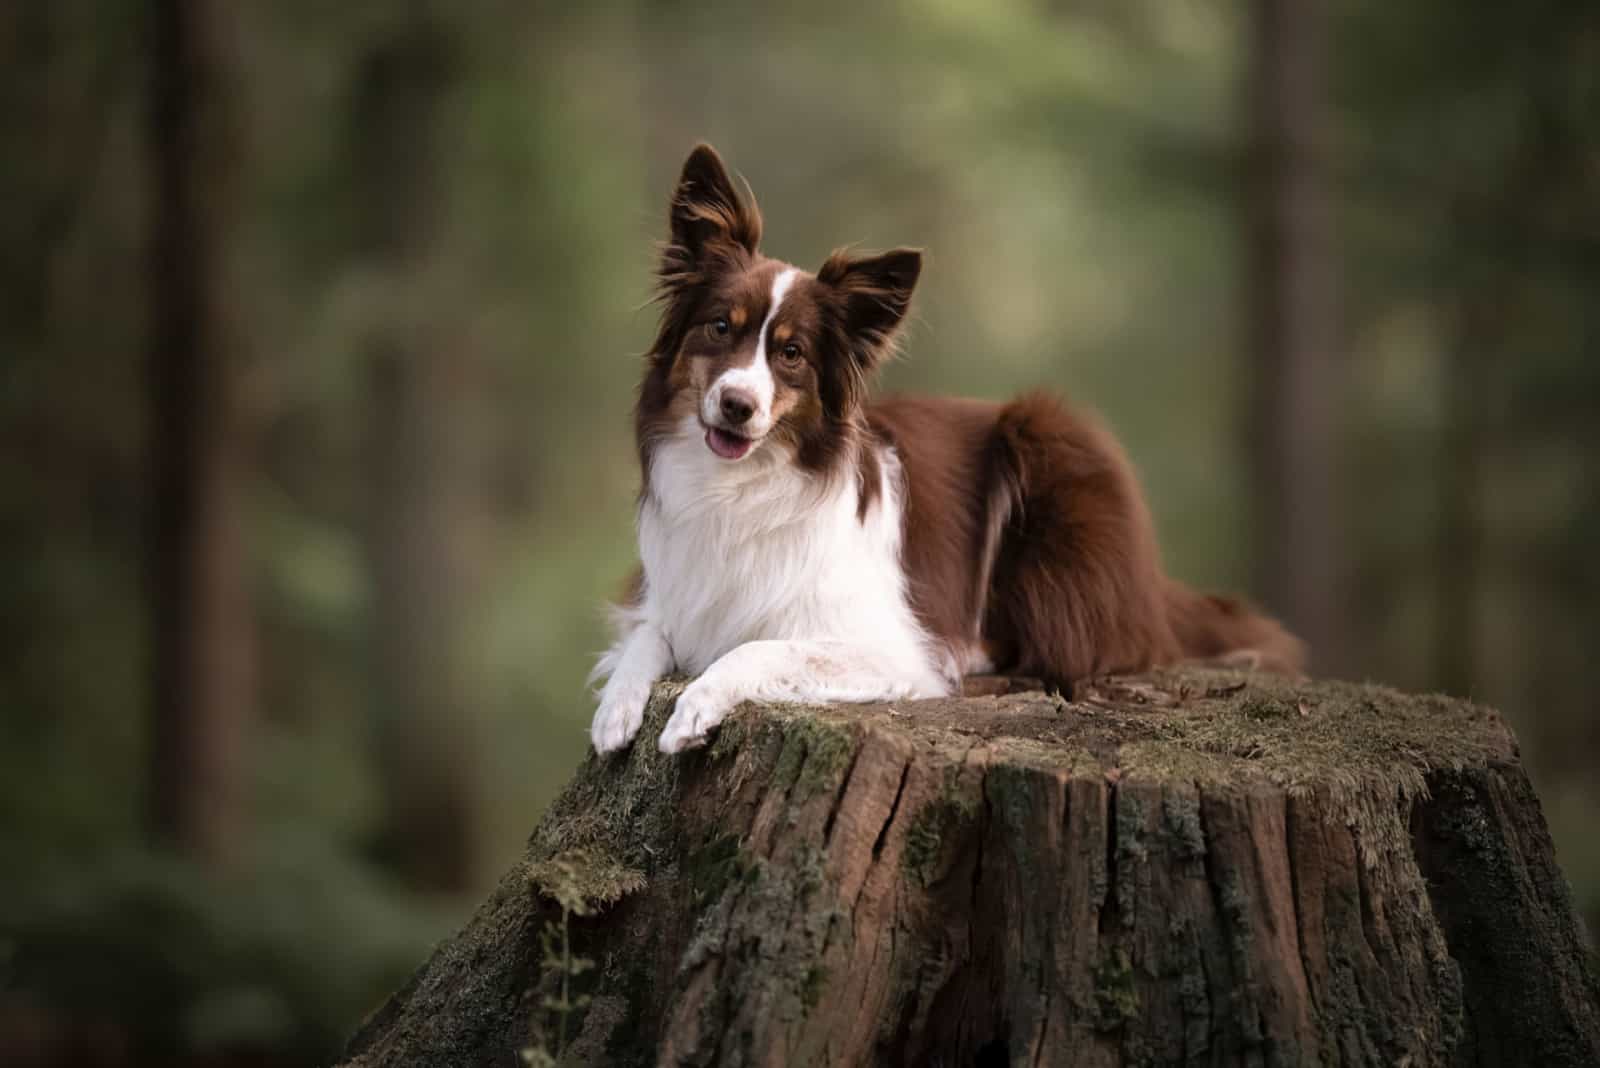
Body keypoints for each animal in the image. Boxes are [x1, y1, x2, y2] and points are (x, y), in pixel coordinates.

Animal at [588, 143, 1299, 757]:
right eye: (719, 327)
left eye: (791, 353)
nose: (737, 404)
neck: (739, 487)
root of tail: (1153, 585)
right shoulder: (669, 596)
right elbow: (645, 637)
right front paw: (616, 709)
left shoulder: (886, 645)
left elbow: (759, 649)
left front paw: (694, 706)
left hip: (1051, 445)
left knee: (1080, 647)